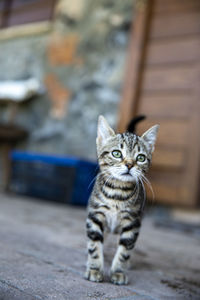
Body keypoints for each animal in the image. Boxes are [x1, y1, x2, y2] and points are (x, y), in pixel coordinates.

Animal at [85, 116, 159, 284]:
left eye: (140, 158)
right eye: (117, 153)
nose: (130, 164)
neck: (117, 192)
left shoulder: (133, 222)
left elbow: (125, 250)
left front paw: (118, 272)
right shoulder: (95, 215)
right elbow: (94, 245)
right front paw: (94, 268)